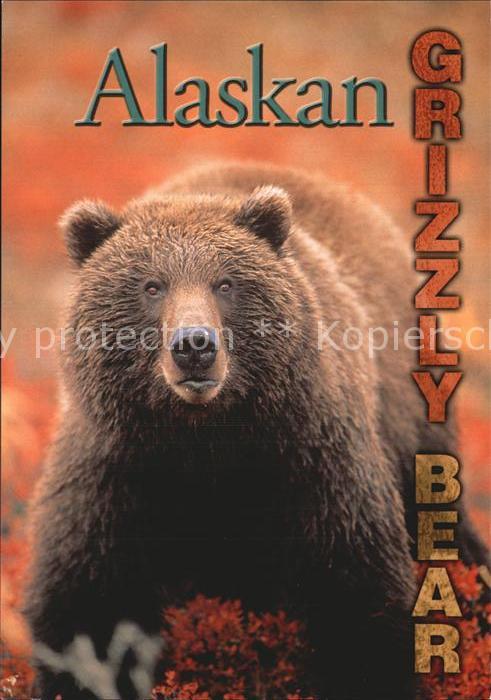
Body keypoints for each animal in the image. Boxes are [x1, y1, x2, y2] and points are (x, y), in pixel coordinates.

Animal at [24, 161, 487, 700]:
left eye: (225, 283)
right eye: (151, 285)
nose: (194, 345)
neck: (206, 437)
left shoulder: (311, 453)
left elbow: (356, 586)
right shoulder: (116, 467)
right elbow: (86, 601)